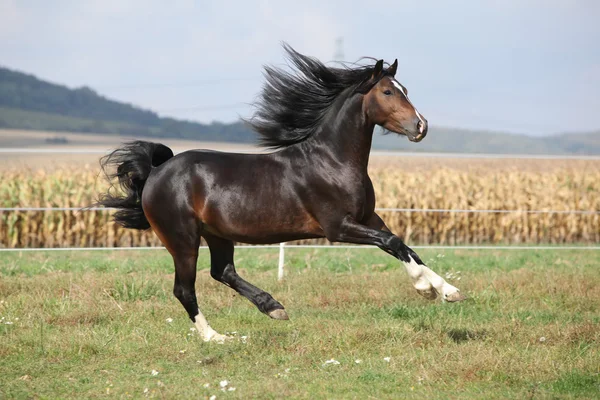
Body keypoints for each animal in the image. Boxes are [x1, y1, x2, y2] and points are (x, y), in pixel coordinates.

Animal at [97, 44, 464, 344]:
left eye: (405, 90)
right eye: (388, 91)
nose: (421, 126)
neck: (332, 161)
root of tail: (156, 173)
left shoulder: (368, 218)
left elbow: (402, 245)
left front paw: (447, 290)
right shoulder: (338, 227)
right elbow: (393, 242)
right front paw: (425, 288)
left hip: (216, 234)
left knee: (223, 272)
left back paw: (273, 307)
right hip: (182, 238)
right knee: (185, 289)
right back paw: (217, 337)